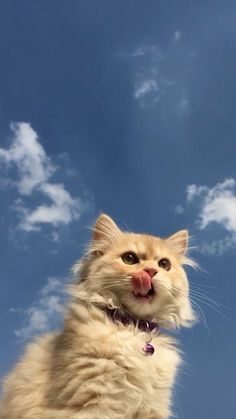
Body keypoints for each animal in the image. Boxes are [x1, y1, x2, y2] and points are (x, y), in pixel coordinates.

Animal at [0, 215, 195, 418]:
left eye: (164, 264)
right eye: (129, 258)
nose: (150, 271)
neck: (132, 326)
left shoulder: (151, 408)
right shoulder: (96, 402)